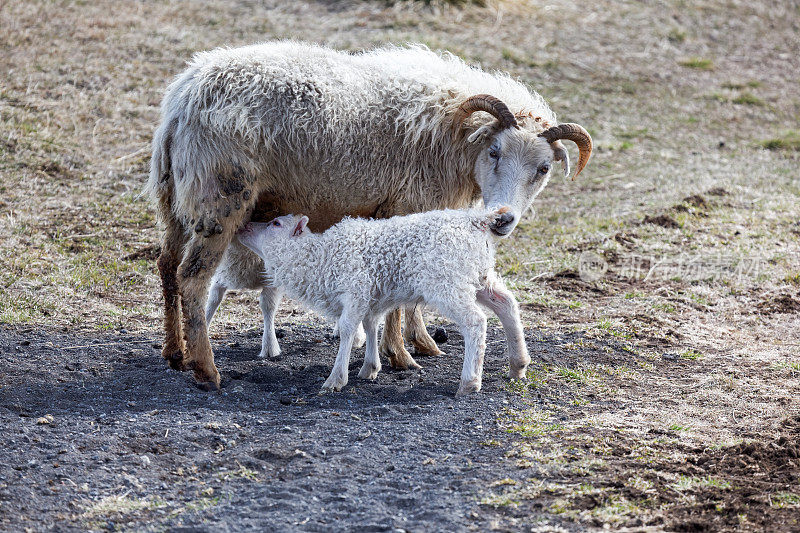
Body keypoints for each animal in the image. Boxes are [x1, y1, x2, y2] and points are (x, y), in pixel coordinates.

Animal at [234, 207, 528, 394]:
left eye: (275, 224)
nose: (243, 226)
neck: (320, 257)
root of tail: (474, 219)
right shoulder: (369, 298)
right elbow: (370, 325)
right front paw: (369, 368)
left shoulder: (355, 291)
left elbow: (348, 330)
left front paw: (336, 379)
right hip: (478, 274)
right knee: (507, 304)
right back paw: (518, 364)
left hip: (446, 281)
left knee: (475, 322)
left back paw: (470, 382)